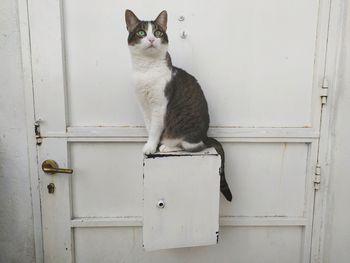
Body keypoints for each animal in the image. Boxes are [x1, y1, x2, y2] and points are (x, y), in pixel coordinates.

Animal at [124, 9, 231, 201]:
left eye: (158, 32)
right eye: (142, 32)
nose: (151, 39)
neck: (146, 69)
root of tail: (206, 135)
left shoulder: (159, 105)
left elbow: (155, 128)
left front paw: (151, 147)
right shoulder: (143, 105)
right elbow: (149, 127)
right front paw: (151, 143)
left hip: (187, 133)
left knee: (194, 146)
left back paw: (168, 146)